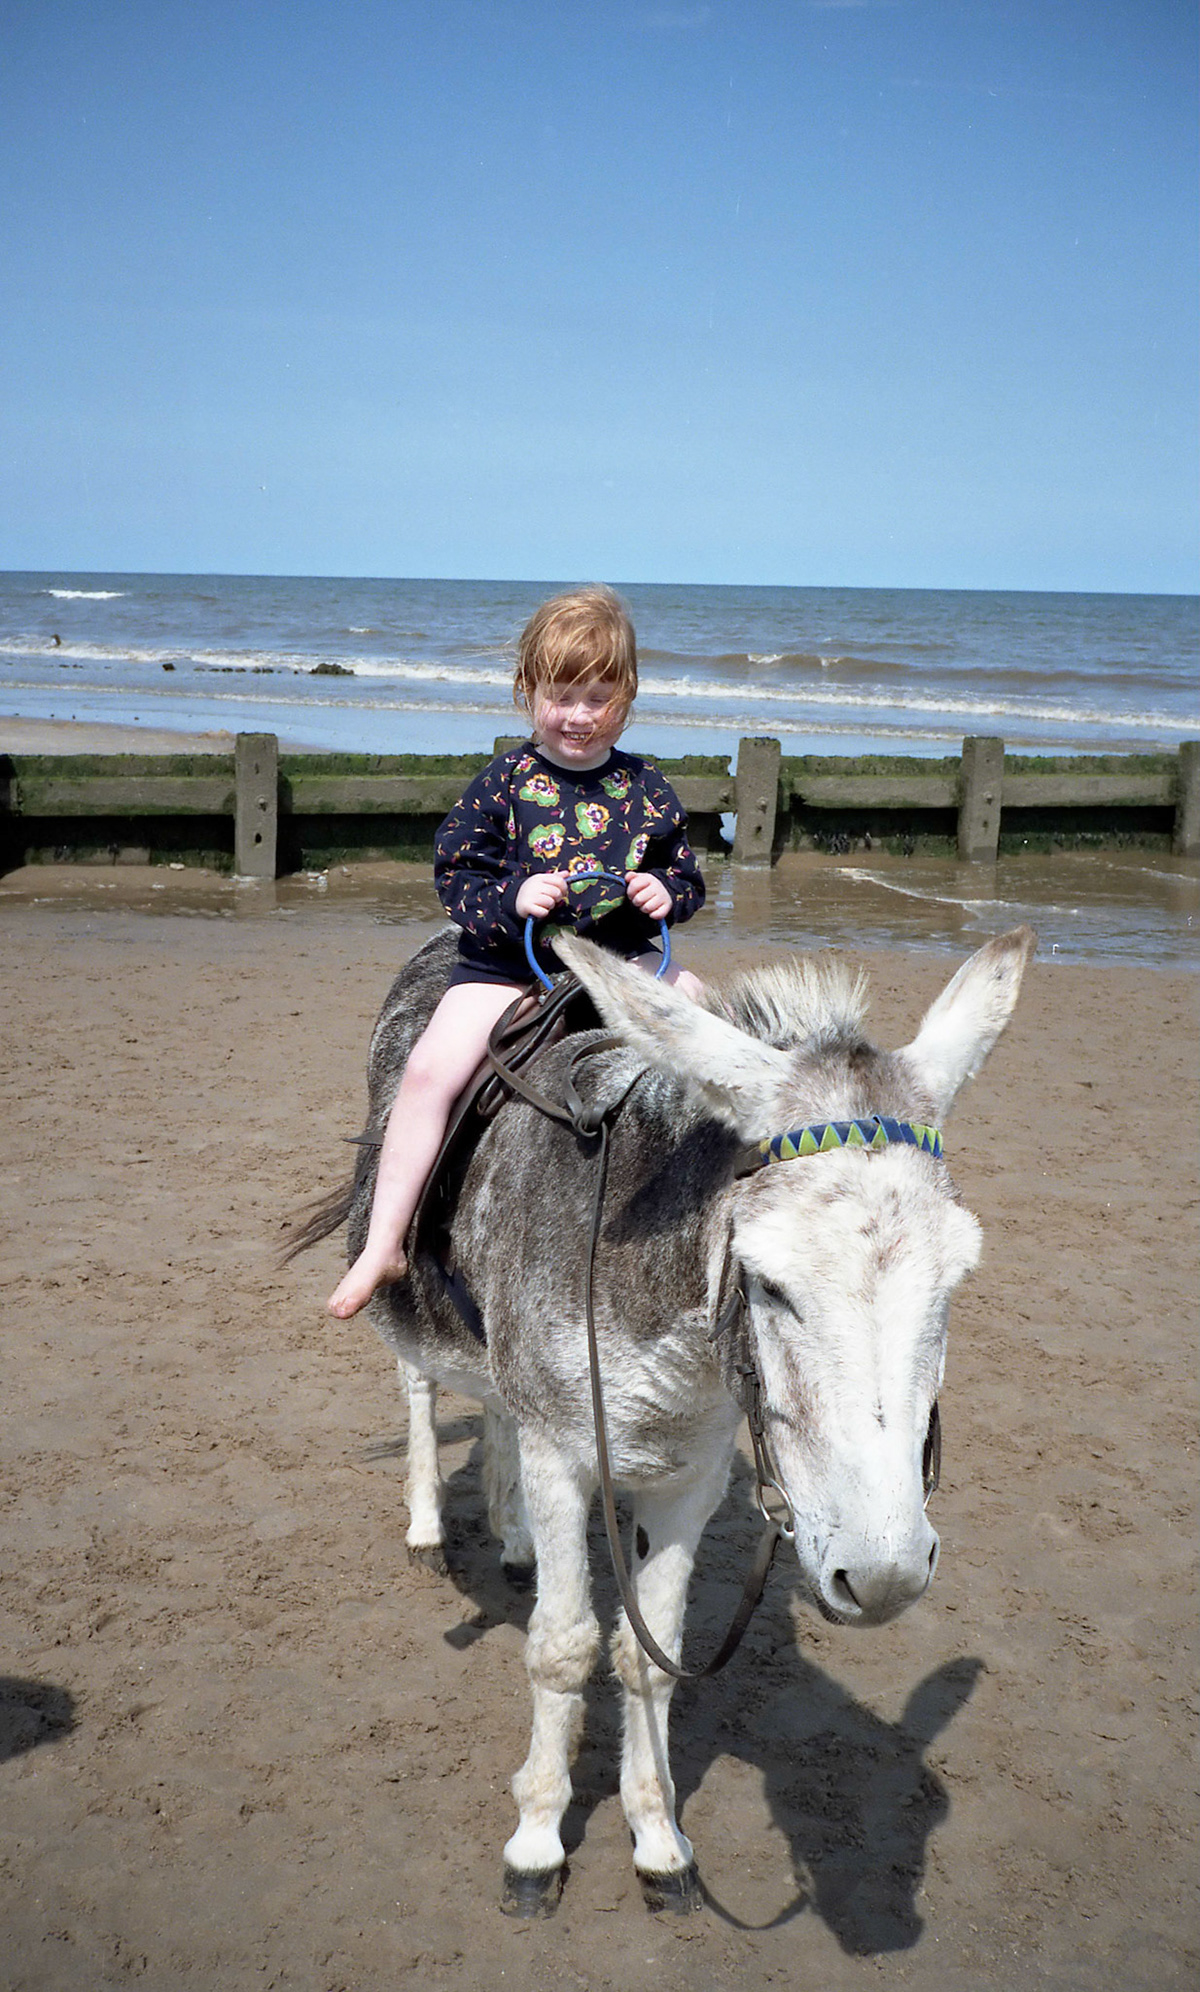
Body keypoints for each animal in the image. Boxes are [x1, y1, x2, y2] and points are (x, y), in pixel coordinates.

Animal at [294, 921, 1034, 1916]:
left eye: (955, 1283)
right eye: (767, 1284)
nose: (883, 1579)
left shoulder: (694, 1475)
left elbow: (650, 1653)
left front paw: (658, 1842)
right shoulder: (566, 1457)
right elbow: (564, 1647)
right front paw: (536, 1845)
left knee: (495, 1406)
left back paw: (512, 1535)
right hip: (404, 1273)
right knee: (419, 1386)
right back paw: (426, 1526)